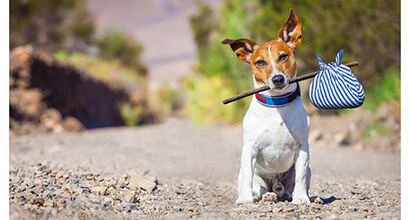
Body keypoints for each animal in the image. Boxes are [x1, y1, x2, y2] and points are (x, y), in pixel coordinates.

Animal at [223, 8, 310, 205]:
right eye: (260, 62)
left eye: (283, 56)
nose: (277, 79)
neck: (277, 104)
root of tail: (275, 184)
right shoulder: (249, 148)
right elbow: (248, 176)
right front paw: (244, 200)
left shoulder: (303, 146)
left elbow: (300, 174)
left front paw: (302, 199)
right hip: (252, 176)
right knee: (258, 188)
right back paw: (266, 195)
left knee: (289, 189)